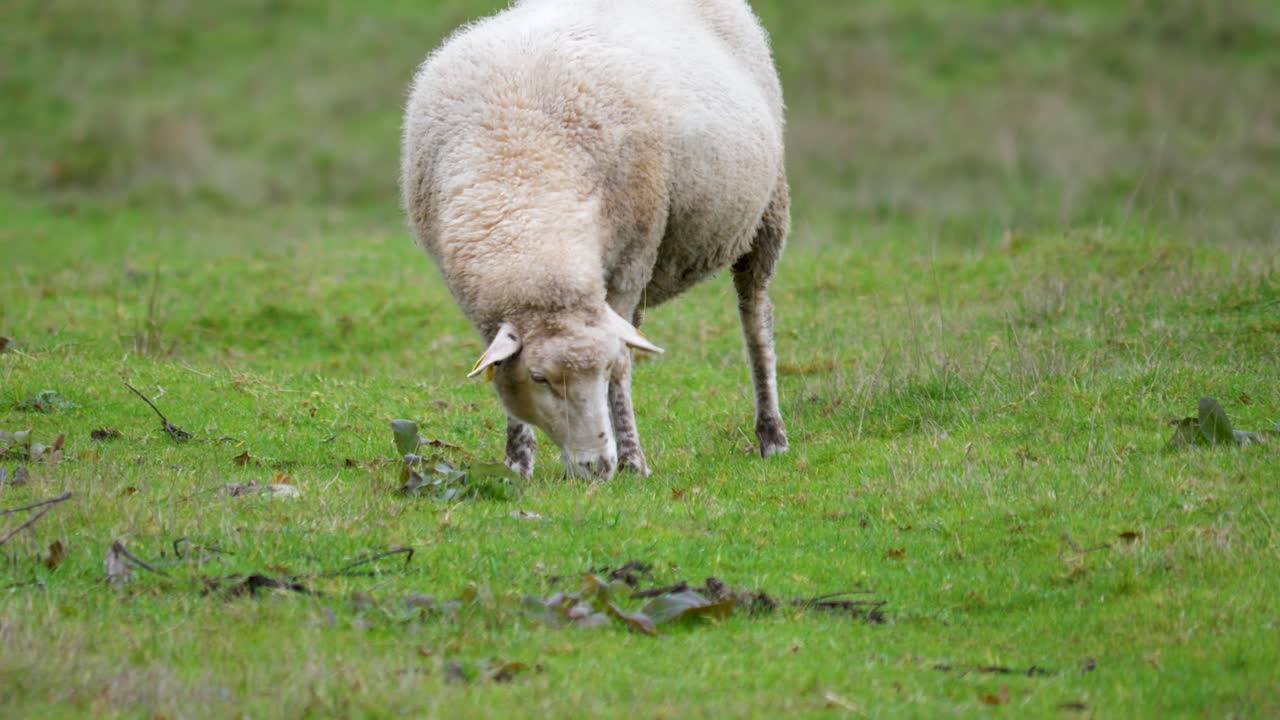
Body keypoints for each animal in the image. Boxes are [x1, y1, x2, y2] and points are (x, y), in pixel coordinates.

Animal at [400, 0, 790, 480]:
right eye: (539, 378)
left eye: (600, 372)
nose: (596, 467)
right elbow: (500, 369)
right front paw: (517, 461)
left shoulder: (630, 262)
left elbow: (622, 366)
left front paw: (633, 462)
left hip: (766, 214)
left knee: (756, 320)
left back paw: (771, 434)